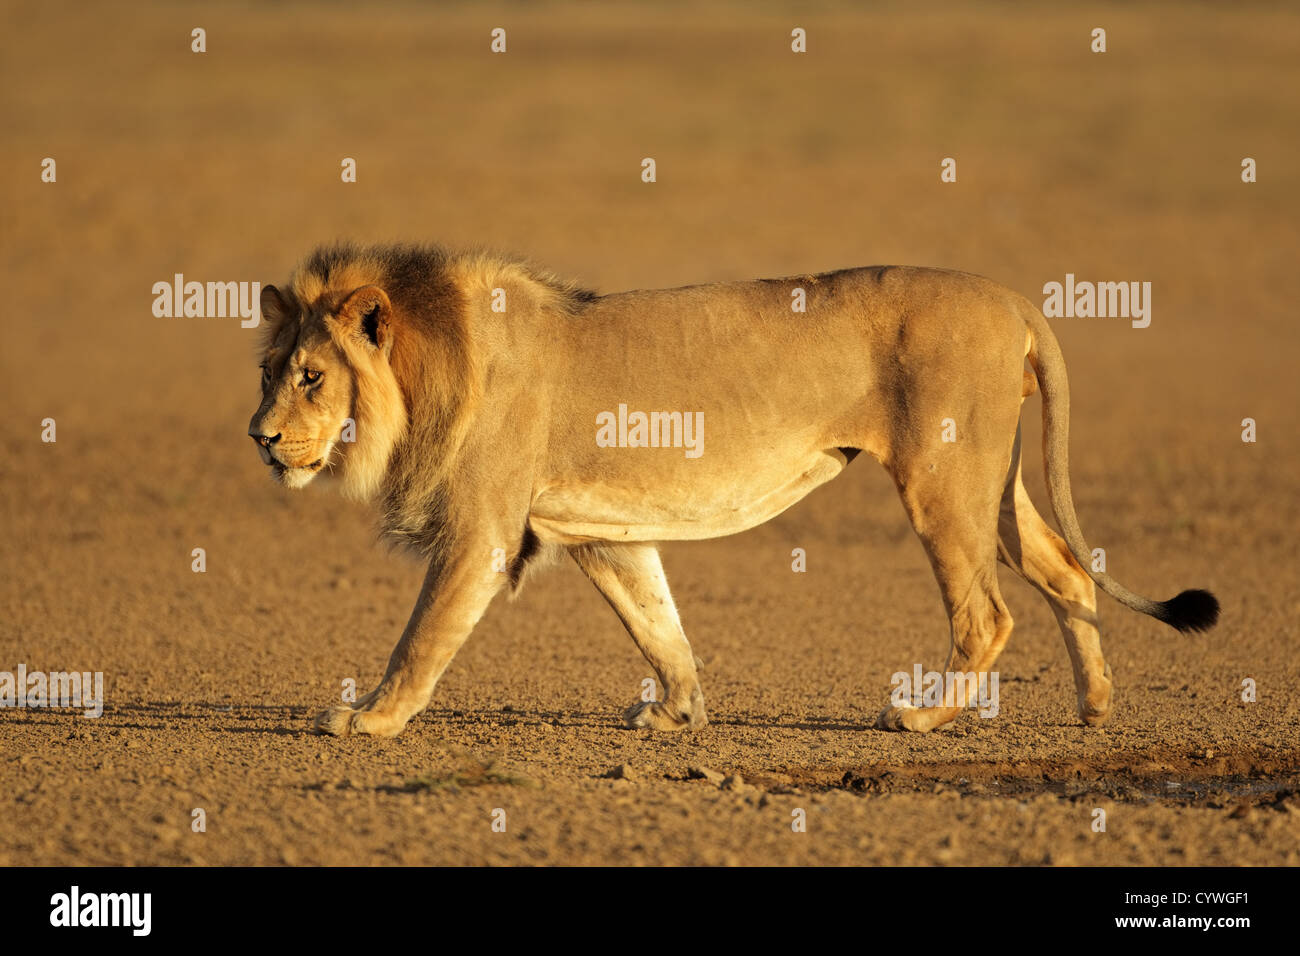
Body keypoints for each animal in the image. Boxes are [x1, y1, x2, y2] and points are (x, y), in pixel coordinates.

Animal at [247, 242, 1219, 738]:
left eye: (310, 379)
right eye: (267, 373)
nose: (259, 438)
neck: (430, 366)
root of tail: (1016, 300)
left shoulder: (481, 529)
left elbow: (422, 636)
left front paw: (368, 719)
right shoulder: (601, 530)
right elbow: (657, 623)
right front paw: (678, 715)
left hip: (942, 479)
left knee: (987, 614)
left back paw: (920, 720)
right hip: (995, 481)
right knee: (1068, 572)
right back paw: (1095, 707)